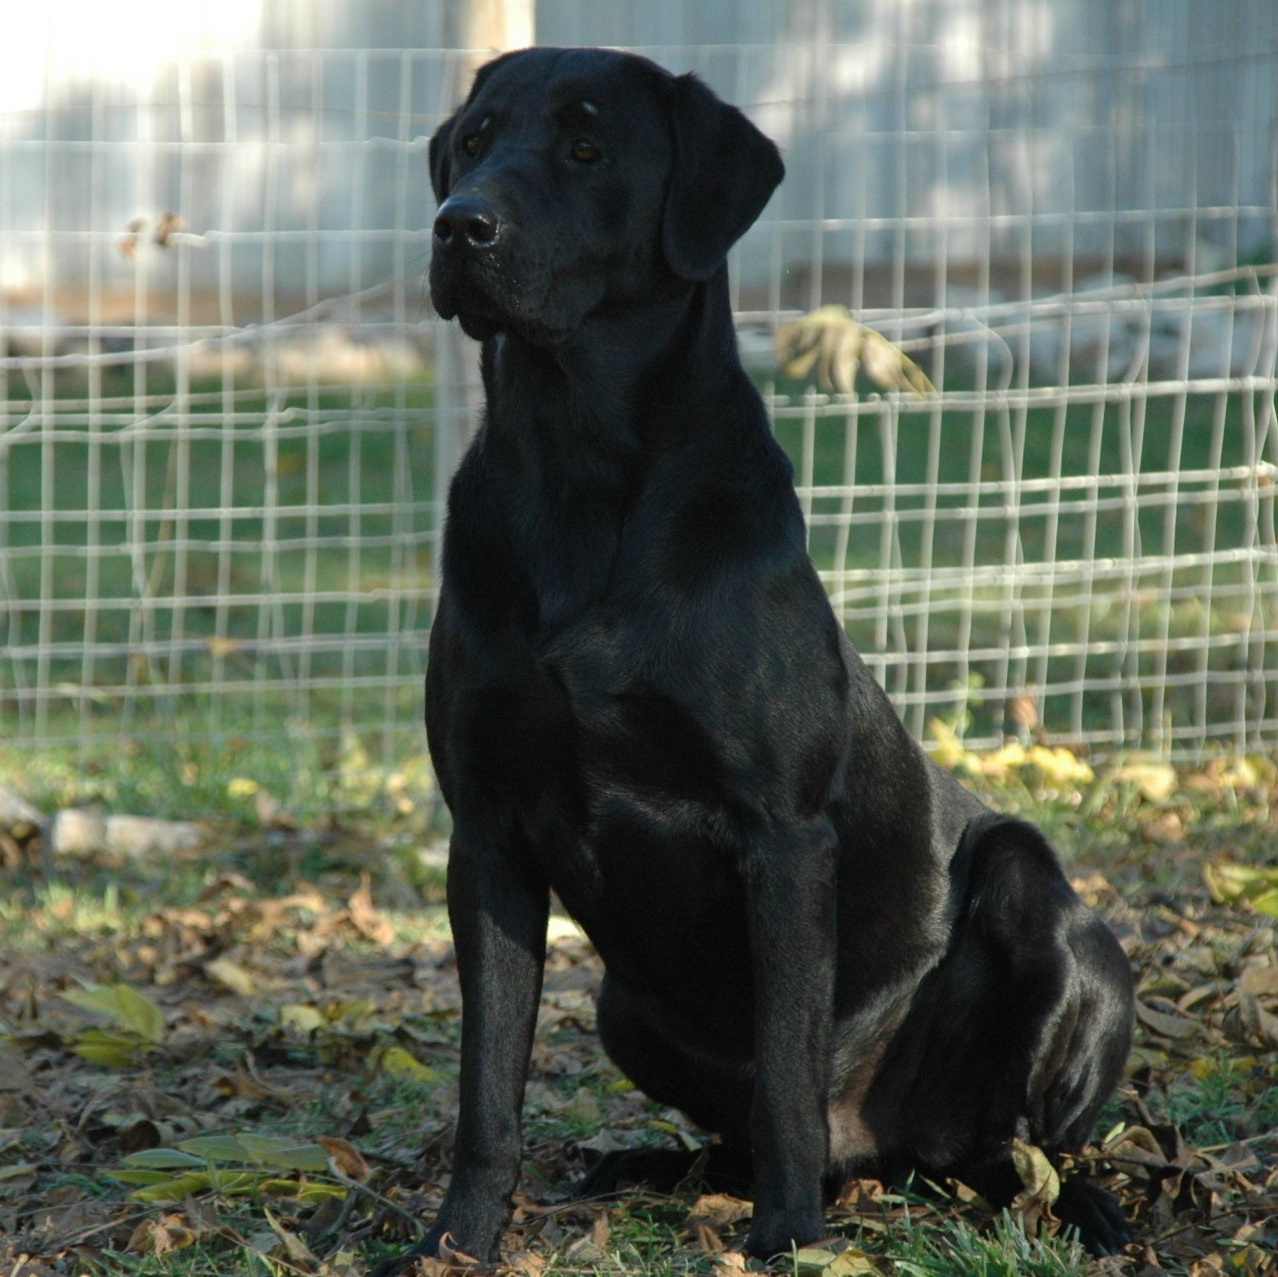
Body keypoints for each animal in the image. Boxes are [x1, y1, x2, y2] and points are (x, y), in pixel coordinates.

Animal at [406, 47, 1129, 1268]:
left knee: (1020, 1140)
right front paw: (458, 1237)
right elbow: (486, 1081)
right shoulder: (488, 835)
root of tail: (891, 1149)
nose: (461, 224)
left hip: (1039, 894)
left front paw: (787, 1239)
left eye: (587, 148)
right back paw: (644, 1165)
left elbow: (790, 1072)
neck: (576, 465)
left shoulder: (782, 837)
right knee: (744, 1133)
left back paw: (1062, 1202)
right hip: (622, 1005)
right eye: (473, 141)